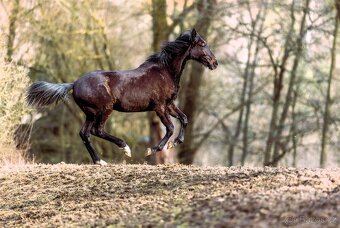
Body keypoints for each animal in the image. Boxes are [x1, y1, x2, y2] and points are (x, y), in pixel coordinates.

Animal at [25, 28, 218, 165]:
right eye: (202, 44)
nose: (215, 63)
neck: (165, 71)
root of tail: (73, 84)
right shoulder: (160, 106)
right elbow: (170, 128)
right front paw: (152, 149)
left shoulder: (169, 104)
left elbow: (184, 119)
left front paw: (175, 142)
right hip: (104, 109)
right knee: (97, 131)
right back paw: (125, 149)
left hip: (90, 113)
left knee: (85, 134)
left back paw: (100, 161)